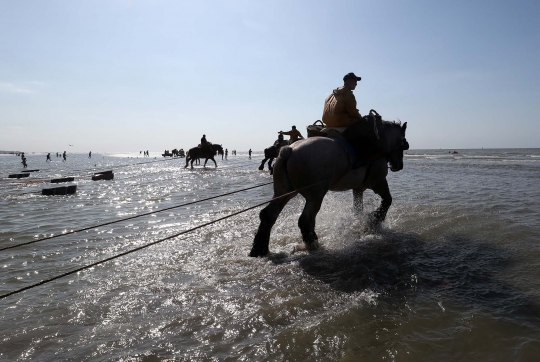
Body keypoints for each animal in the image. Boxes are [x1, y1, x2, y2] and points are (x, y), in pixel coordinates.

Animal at [250, 121, 410, 258]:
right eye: (403, 144)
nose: (398, 165)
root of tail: (289, 149)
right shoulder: (378, 182)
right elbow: (387, 200)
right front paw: (375, 219)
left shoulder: (358, 188)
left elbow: (358, 209)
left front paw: (360, 223)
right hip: (316, 195)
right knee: (305, 220)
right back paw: (312, 243)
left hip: (284, 192)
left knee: (268, 214)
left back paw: (259, 249)